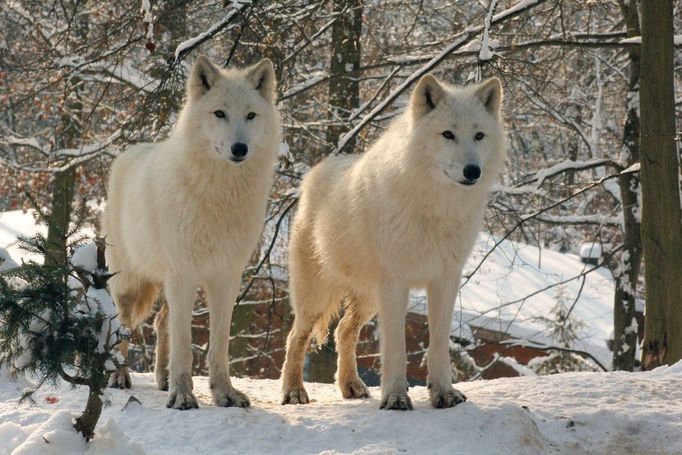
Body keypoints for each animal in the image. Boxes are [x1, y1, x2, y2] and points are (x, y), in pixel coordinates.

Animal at [102, 56, 278, 410]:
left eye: (251, 115)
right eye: (220, 113)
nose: (240, 148)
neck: (222, 194)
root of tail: (128, 151)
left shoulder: (226, 277)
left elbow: (218, 344)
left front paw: (224, 393)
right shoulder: (183, 275)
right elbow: (184, 343)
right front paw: (183, 395)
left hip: (166, 282)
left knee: (160, 323)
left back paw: (162, 379)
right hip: (131, 285)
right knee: (123, 327)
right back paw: (120, 376)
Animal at [278, 74, 504, 410]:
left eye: (479, 135)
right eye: (448, 134)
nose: (472, 171)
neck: (436, 208)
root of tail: (314, 172)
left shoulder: (446, 280)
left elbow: (438, 344)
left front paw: (444, 393)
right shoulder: (396, 282)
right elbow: (396, 346)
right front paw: (396, 396)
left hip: (369, 298)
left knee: (343, 331)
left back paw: (351, 386)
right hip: (319, 295)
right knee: (296, 337)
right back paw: (293, 391)